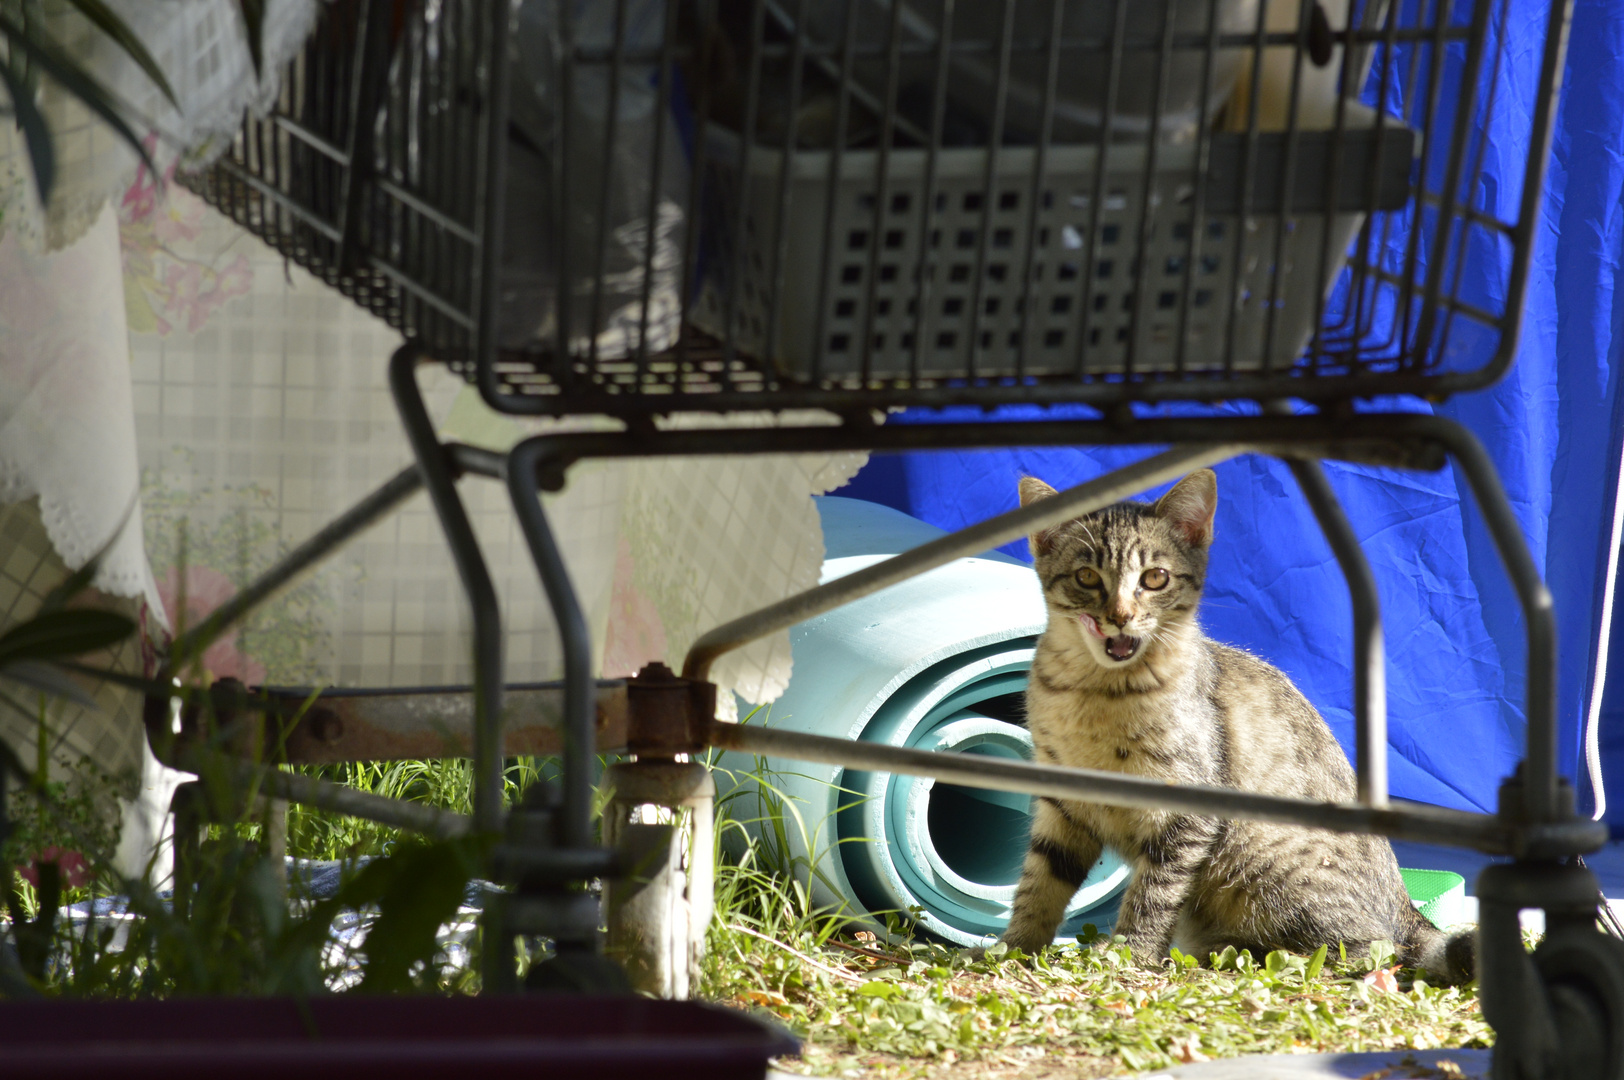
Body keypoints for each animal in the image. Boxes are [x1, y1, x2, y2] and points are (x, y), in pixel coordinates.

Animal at [1000, 467, 1474, 980]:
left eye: (1155, 578)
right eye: (1087, 576)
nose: (1120, 616)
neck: (1096, 692)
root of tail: (1406, 905)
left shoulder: (1187, 809)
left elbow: (1154, 891)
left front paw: (1131, 954)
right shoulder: (1060, 802)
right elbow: (1039, 881)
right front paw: (1012, 947)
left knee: (1370, 949)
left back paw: (1244, 955)